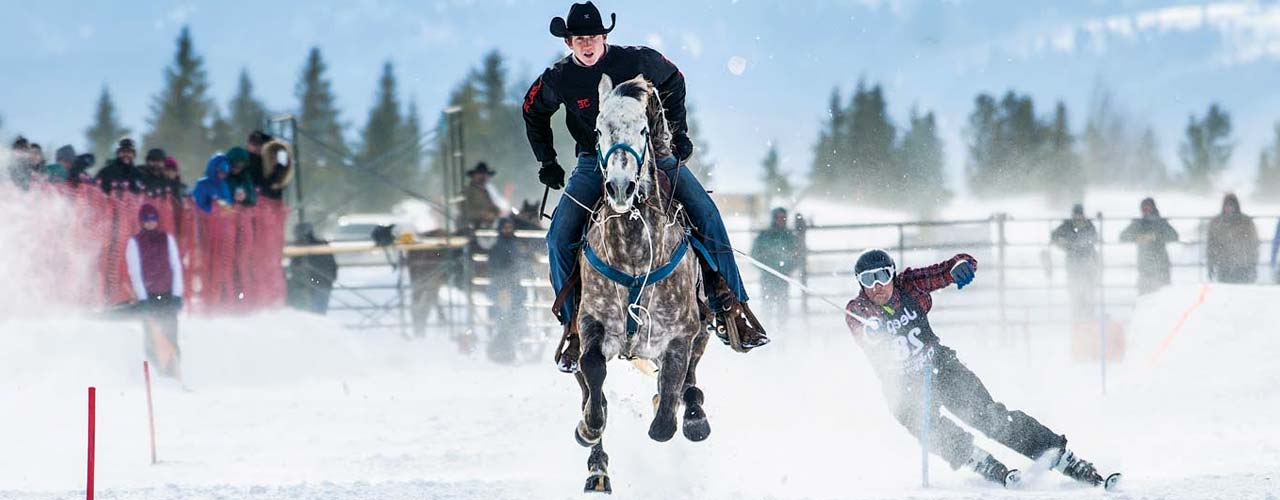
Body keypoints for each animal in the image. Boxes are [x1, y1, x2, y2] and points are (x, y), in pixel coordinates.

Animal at [576, 73, 716, 493]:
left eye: (642, 128)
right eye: (598, 130)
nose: (621, 188)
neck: (634, 255)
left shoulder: (681, 334)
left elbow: (667, 410)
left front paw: (683, 415)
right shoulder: (589, 322)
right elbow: (593, 371)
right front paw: (589, 425)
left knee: (688, 381)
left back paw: (694, 413)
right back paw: (597, 470)